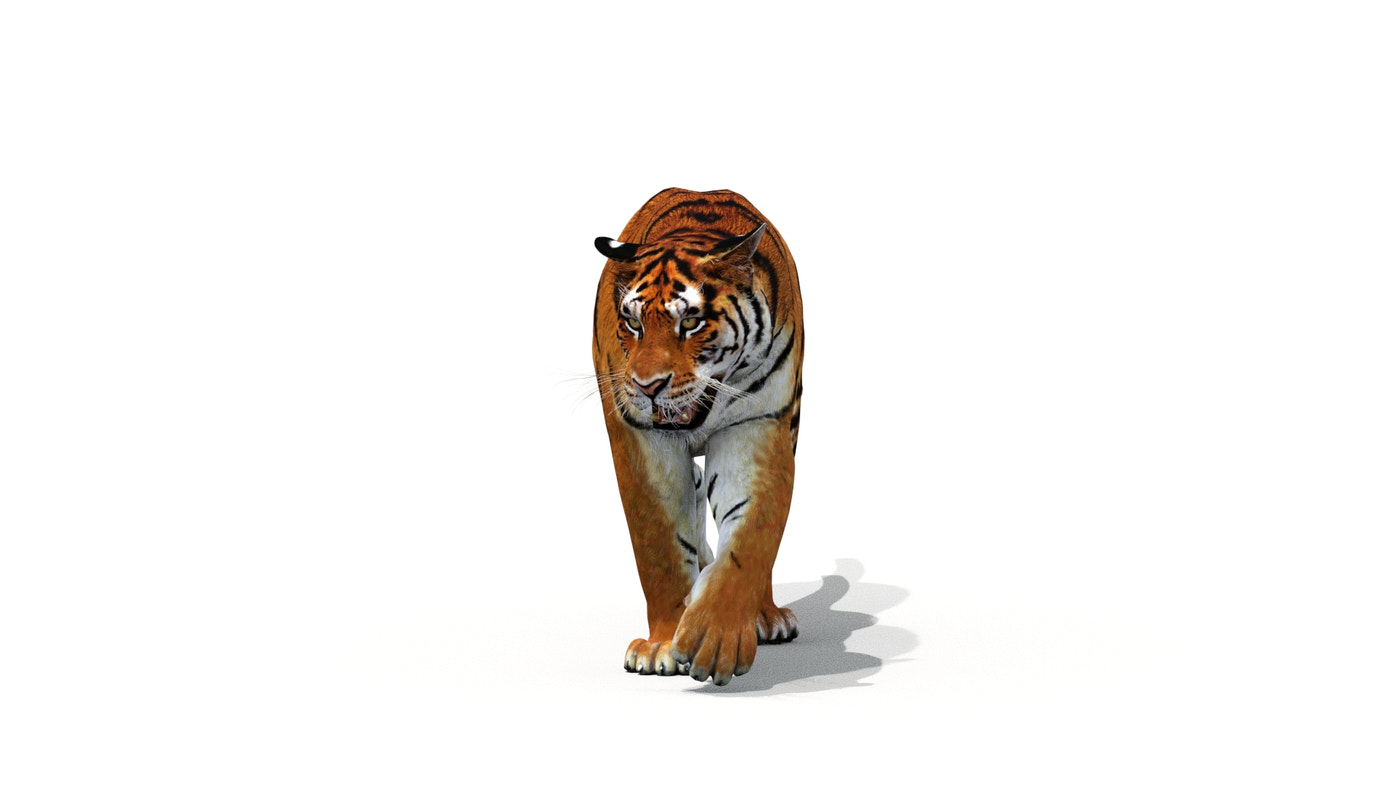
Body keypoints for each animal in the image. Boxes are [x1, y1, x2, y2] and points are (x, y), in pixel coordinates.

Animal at [591, 188, 804, 686]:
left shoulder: (759, 425)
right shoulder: (640, 438)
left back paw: (767, 616)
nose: (647, 385)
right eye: (633, 323)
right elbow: (660, 545)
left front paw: (717, 634)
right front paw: (661, 644)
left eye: (690, 322)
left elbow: (752, 537)